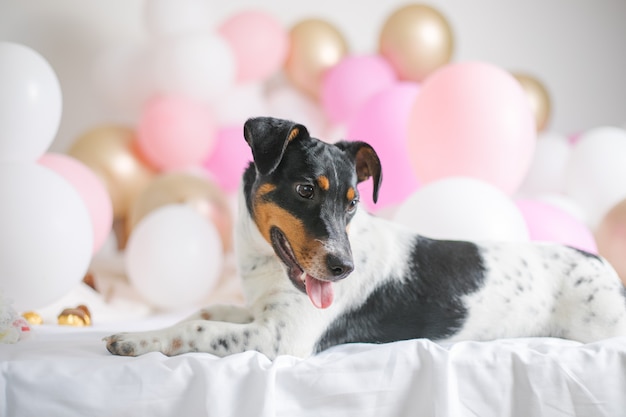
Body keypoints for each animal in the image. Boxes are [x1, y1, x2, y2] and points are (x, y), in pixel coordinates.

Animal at [105, 116, 624, 358]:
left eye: (354, 202)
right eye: (306, 190)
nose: (343, 269)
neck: (267, 268)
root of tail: (604, 267)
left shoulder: (280, 338)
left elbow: (198, 328)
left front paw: (134, 340)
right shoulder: (258, 313)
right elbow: (205, 311)